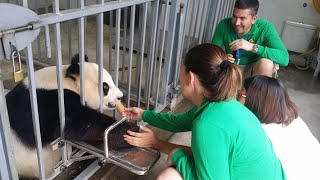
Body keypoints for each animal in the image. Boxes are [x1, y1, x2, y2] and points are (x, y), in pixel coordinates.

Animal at [5, 54, 138, 178]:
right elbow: (77, 124)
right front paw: (129, 131)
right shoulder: (47, 104)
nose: (120, 96)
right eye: (105, 86)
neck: (65, 82)